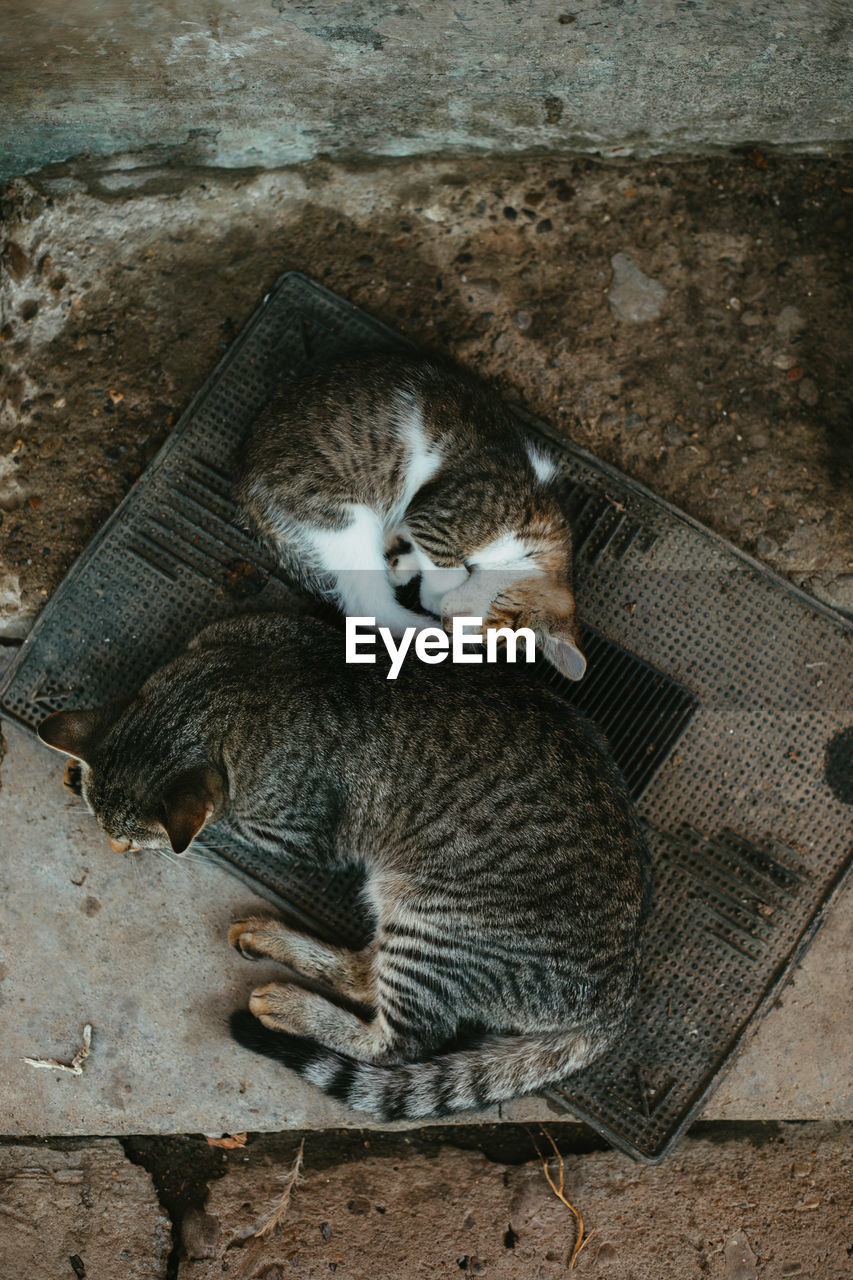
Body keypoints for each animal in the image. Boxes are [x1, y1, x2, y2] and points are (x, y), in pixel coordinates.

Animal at [36, 609, 648, 1121]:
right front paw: (77, 772)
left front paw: (169, 836)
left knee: (399, 1042)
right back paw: (275, 941)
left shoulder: (295, 835)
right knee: (365, 975)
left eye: (126, 843)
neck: (238, 684)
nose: (113, 847)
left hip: (432, 918)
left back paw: (294, 1008)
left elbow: (213, 830)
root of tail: (621, 996)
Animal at [235, 350, 589, 680]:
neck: (541, 527)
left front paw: (403, 564)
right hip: (341, 515)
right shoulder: (442, 513)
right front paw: (432, 594)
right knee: (368, 606)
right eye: (499, 609)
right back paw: (422, 629)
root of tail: (246, 488)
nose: (449, 622)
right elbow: (448, 571)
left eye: (493, 637)